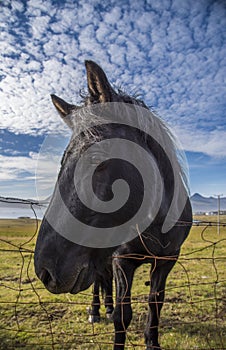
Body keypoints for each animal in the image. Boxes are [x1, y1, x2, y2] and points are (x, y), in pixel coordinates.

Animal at [34, 59, 192, 348]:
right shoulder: (122, 260)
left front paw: (151, 340)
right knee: (99, 282)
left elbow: (155, 303)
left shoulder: (166, 260)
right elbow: (123, 316)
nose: (44, 270)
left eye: (96, 157)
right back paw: (97, 310)